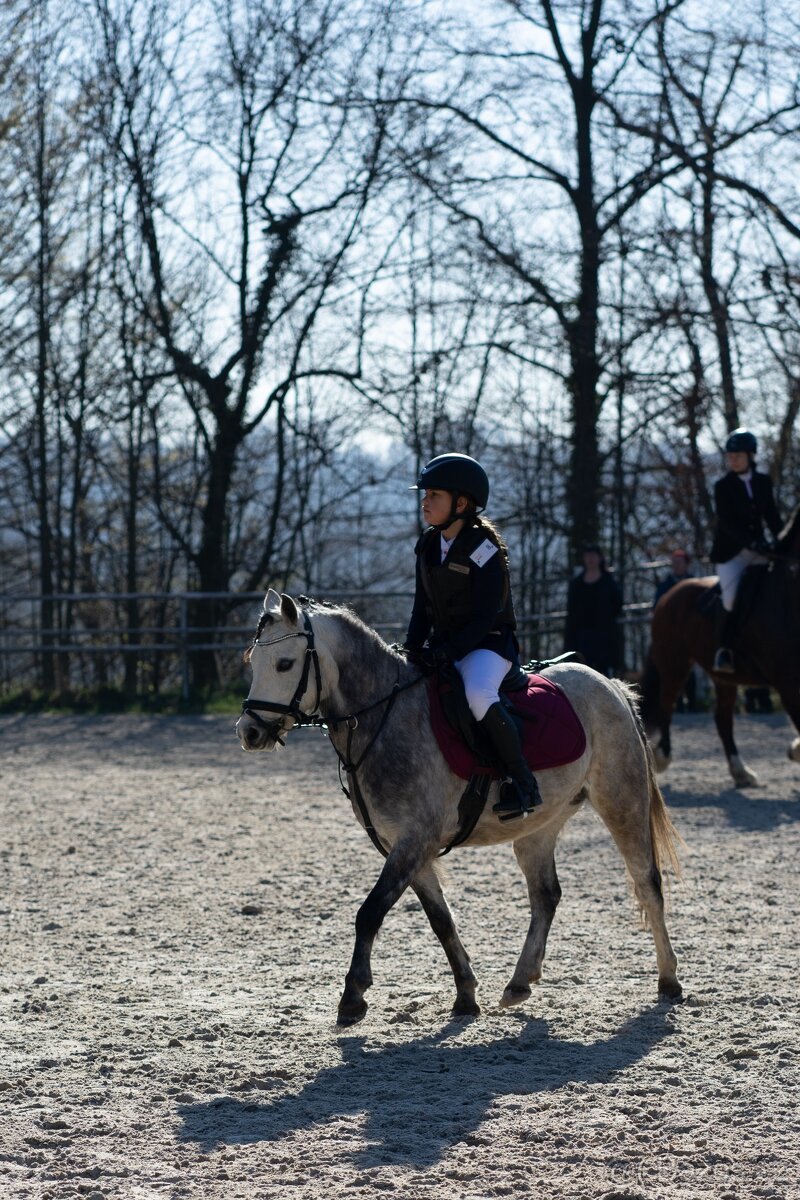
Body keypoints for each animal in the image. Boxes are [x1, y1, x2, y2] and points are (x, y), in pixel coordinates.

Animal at [236, 589, 682, 1025]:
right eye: (253, 662)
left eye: (285, 663)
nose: (249, 732)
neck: (385, 716)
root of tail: (610, 685)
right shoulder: (405, 846)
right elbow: (441, 920)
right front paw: (466, 994)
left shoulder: (415, 840)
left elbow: (371, 911)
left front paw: (353, 996)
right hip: (538, 827)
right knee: (546, 895)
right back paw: (520, 982)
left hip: (622, 801)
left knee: (647, 882)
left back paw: (669, 980)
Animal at [641, 505, 800, 788]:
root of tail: (669, 594)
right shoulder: (787, 682)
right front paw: (795, 750)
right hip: (675, 662)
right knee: (667, 702)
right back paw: (662, 758)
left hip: (722, 675)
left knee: (722, 718)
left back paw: (741, 772)